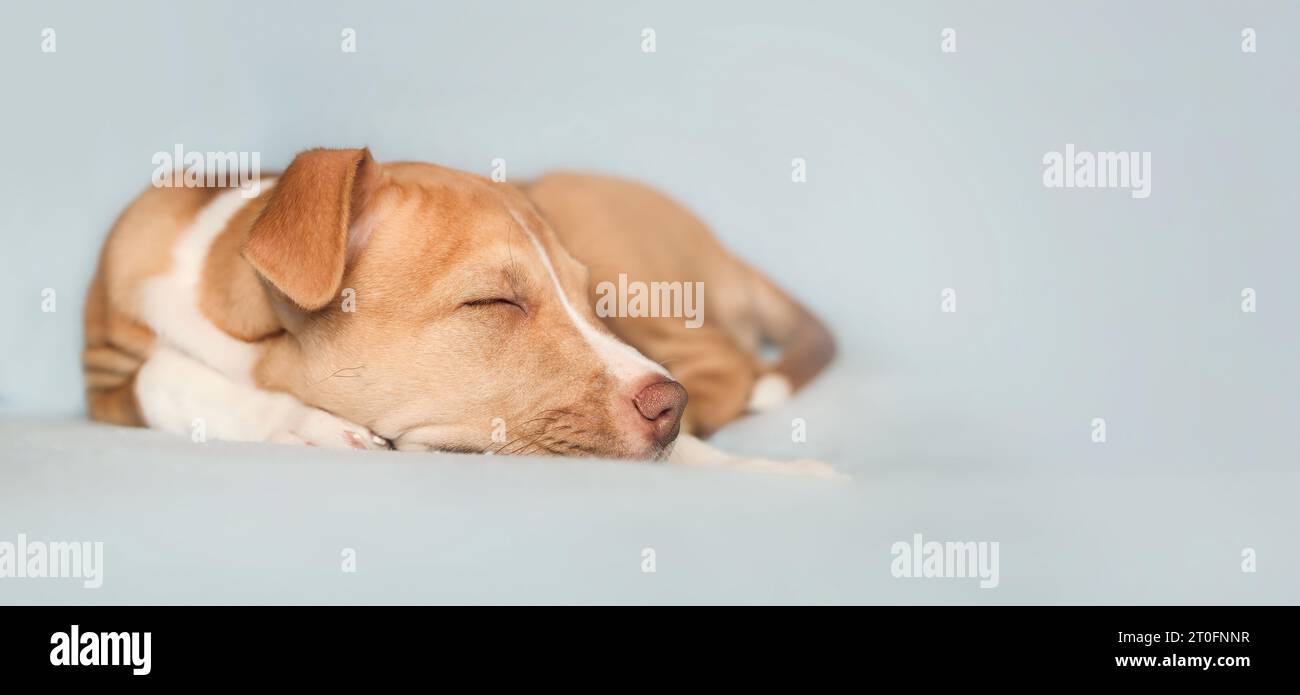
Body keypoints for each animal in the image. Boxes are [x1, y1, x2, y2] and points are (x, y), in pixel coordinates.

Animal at [81, 151, 837, 475]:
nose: (668, 408)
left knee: (729, 362)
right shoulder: (106, 381)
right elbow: (163, 375)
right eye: (493, 302)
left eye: (587, 299)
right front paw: (302, 422)